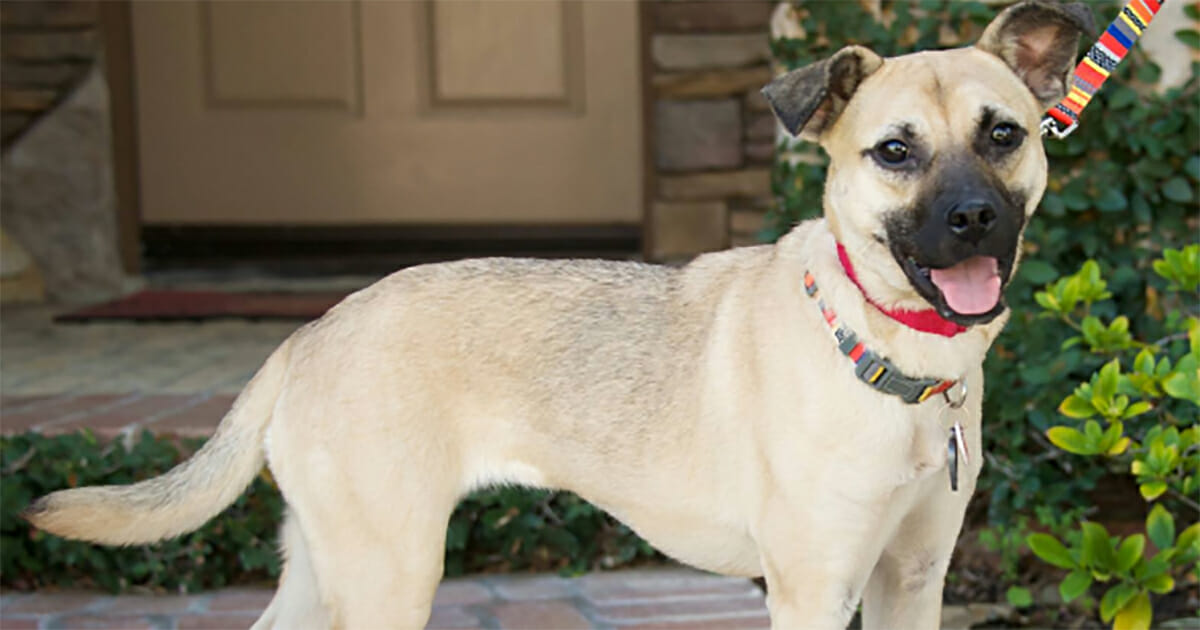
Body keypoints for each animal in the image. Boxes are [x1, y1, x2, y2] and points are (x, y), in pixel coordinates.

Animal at [25, 2, 1092, 628]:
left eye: (1003, 135)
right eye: (894, 152)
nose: (974, 219)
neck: (885, 355)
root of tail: (311, 330)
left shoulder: (911, 580)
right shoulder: (813, 588)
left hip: (325, 566)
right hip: (388, 571)